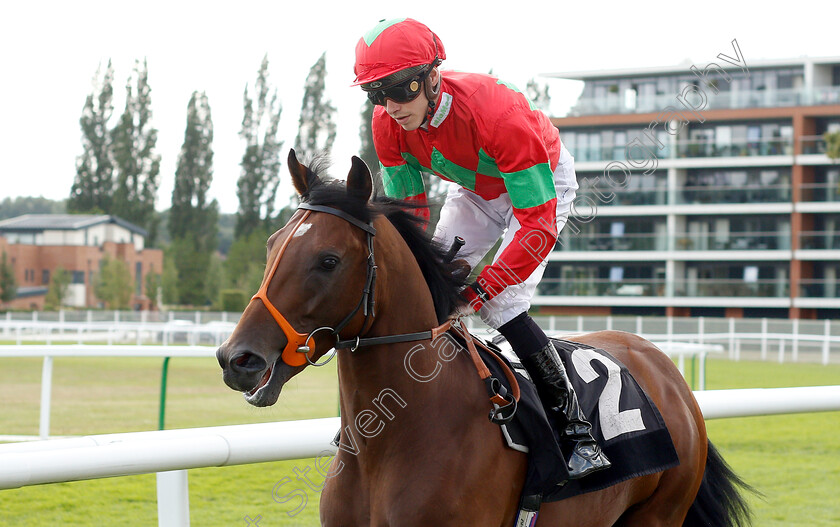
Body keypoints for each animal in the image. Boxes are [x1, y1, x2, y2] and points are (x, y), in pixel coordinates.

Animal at [218, 150, 756, 527]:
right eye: (271, 245)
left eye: (328, 260)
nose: (237, 359)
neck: (390, 444)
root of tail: (664, 368)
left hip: (661, 513)